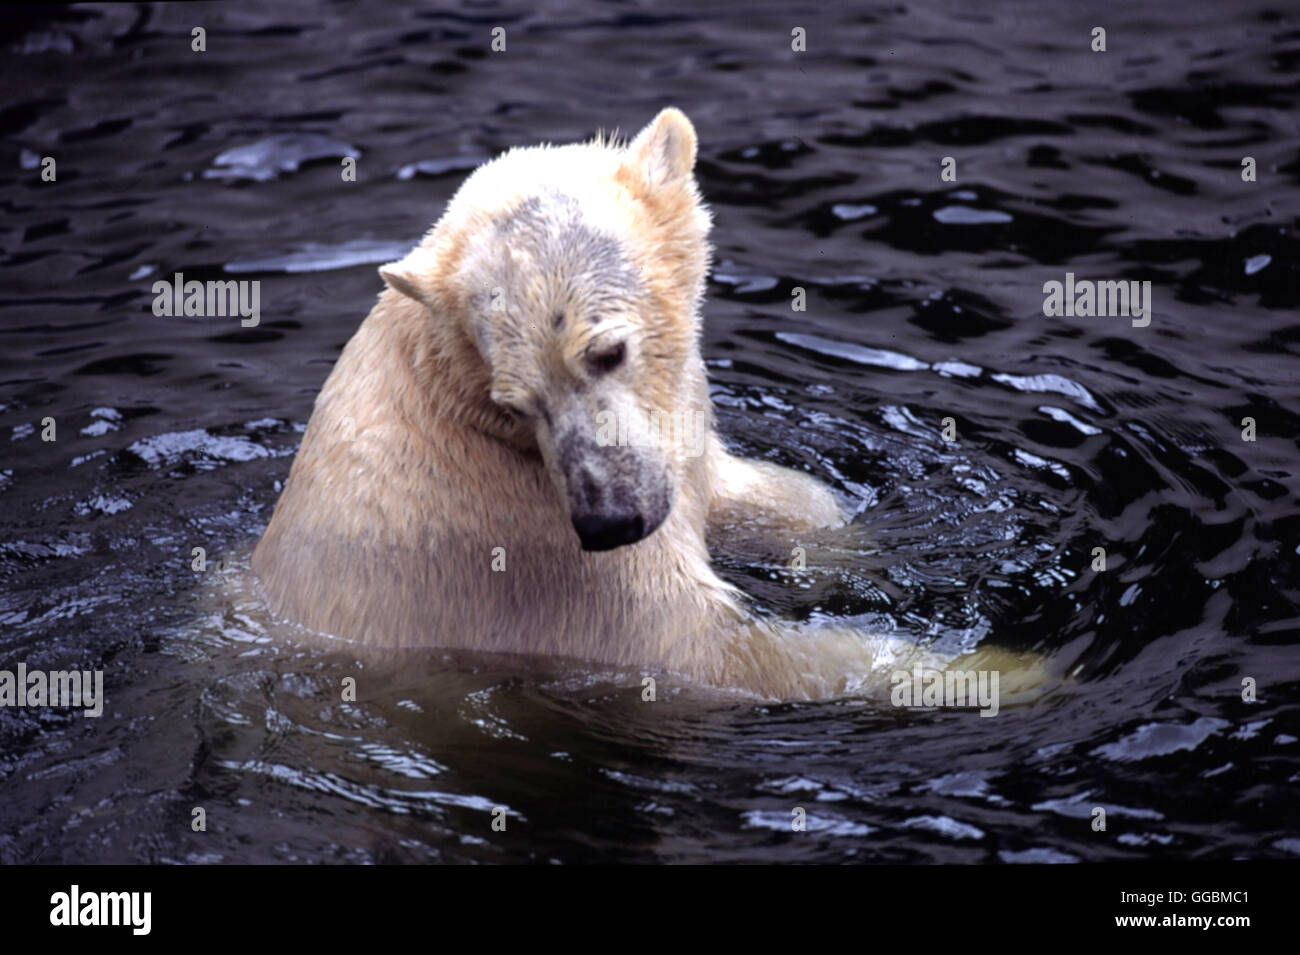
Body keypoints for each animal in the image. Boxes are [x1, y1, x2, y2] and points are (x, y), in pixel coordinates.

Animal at [250, 108, 1045, 696]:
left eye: (607, 351)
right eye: (516, 401)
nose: (609, 519)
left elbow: (745, 491)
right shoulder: (528, 551)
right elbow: (713, 650)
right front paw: (1008, 671)